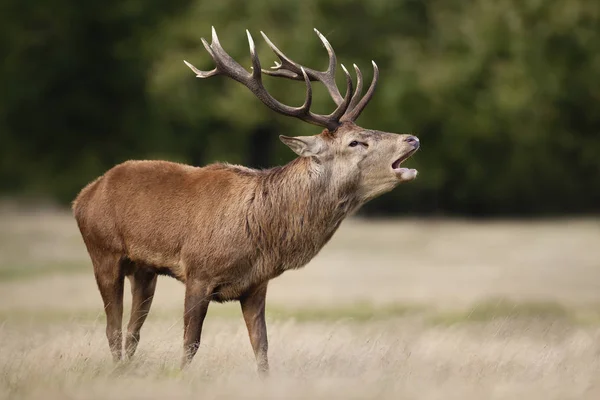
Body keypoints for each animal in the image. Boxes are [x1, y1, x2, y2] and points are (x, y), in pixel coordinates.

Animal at [72, 27, 420, 376]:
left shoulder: (256, 285)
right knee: (113, 328)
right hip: (103, 251)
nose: (412, 138)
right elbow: (191, 343)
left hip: (145, 270)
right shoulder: (198, 272)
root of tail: (84, 195)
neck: (262, 231)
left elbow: (261, 347)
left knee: (133, 331)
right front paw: (182, 376)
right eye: (355, 142)